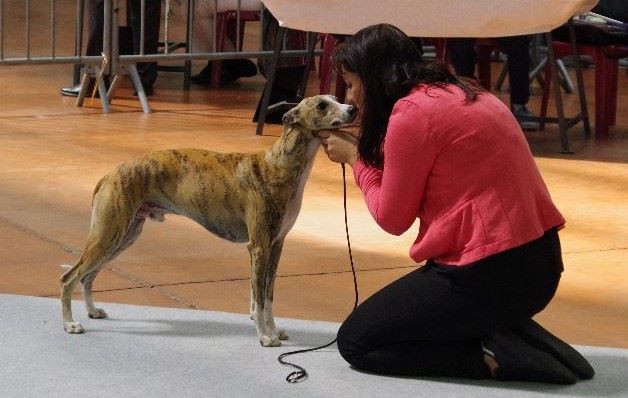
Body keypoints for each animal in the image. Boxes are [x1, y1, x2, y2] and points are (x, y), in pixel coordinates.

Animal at [60, 95, 356, 346]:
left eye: (336, 98)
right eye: (322, 105)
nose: (353, 108)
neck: (277, 166)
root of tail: (109, 175)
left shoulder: (275, 246)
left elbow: (268, 296)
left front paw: (274, 331)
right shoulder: (258, 247)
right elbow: (260, 300)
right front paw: (264, 336)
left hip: (123, 236)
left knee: (87, 277)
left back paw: (92, 311)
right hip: (108, 234)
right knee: (69, 277)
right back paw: (70, 325)